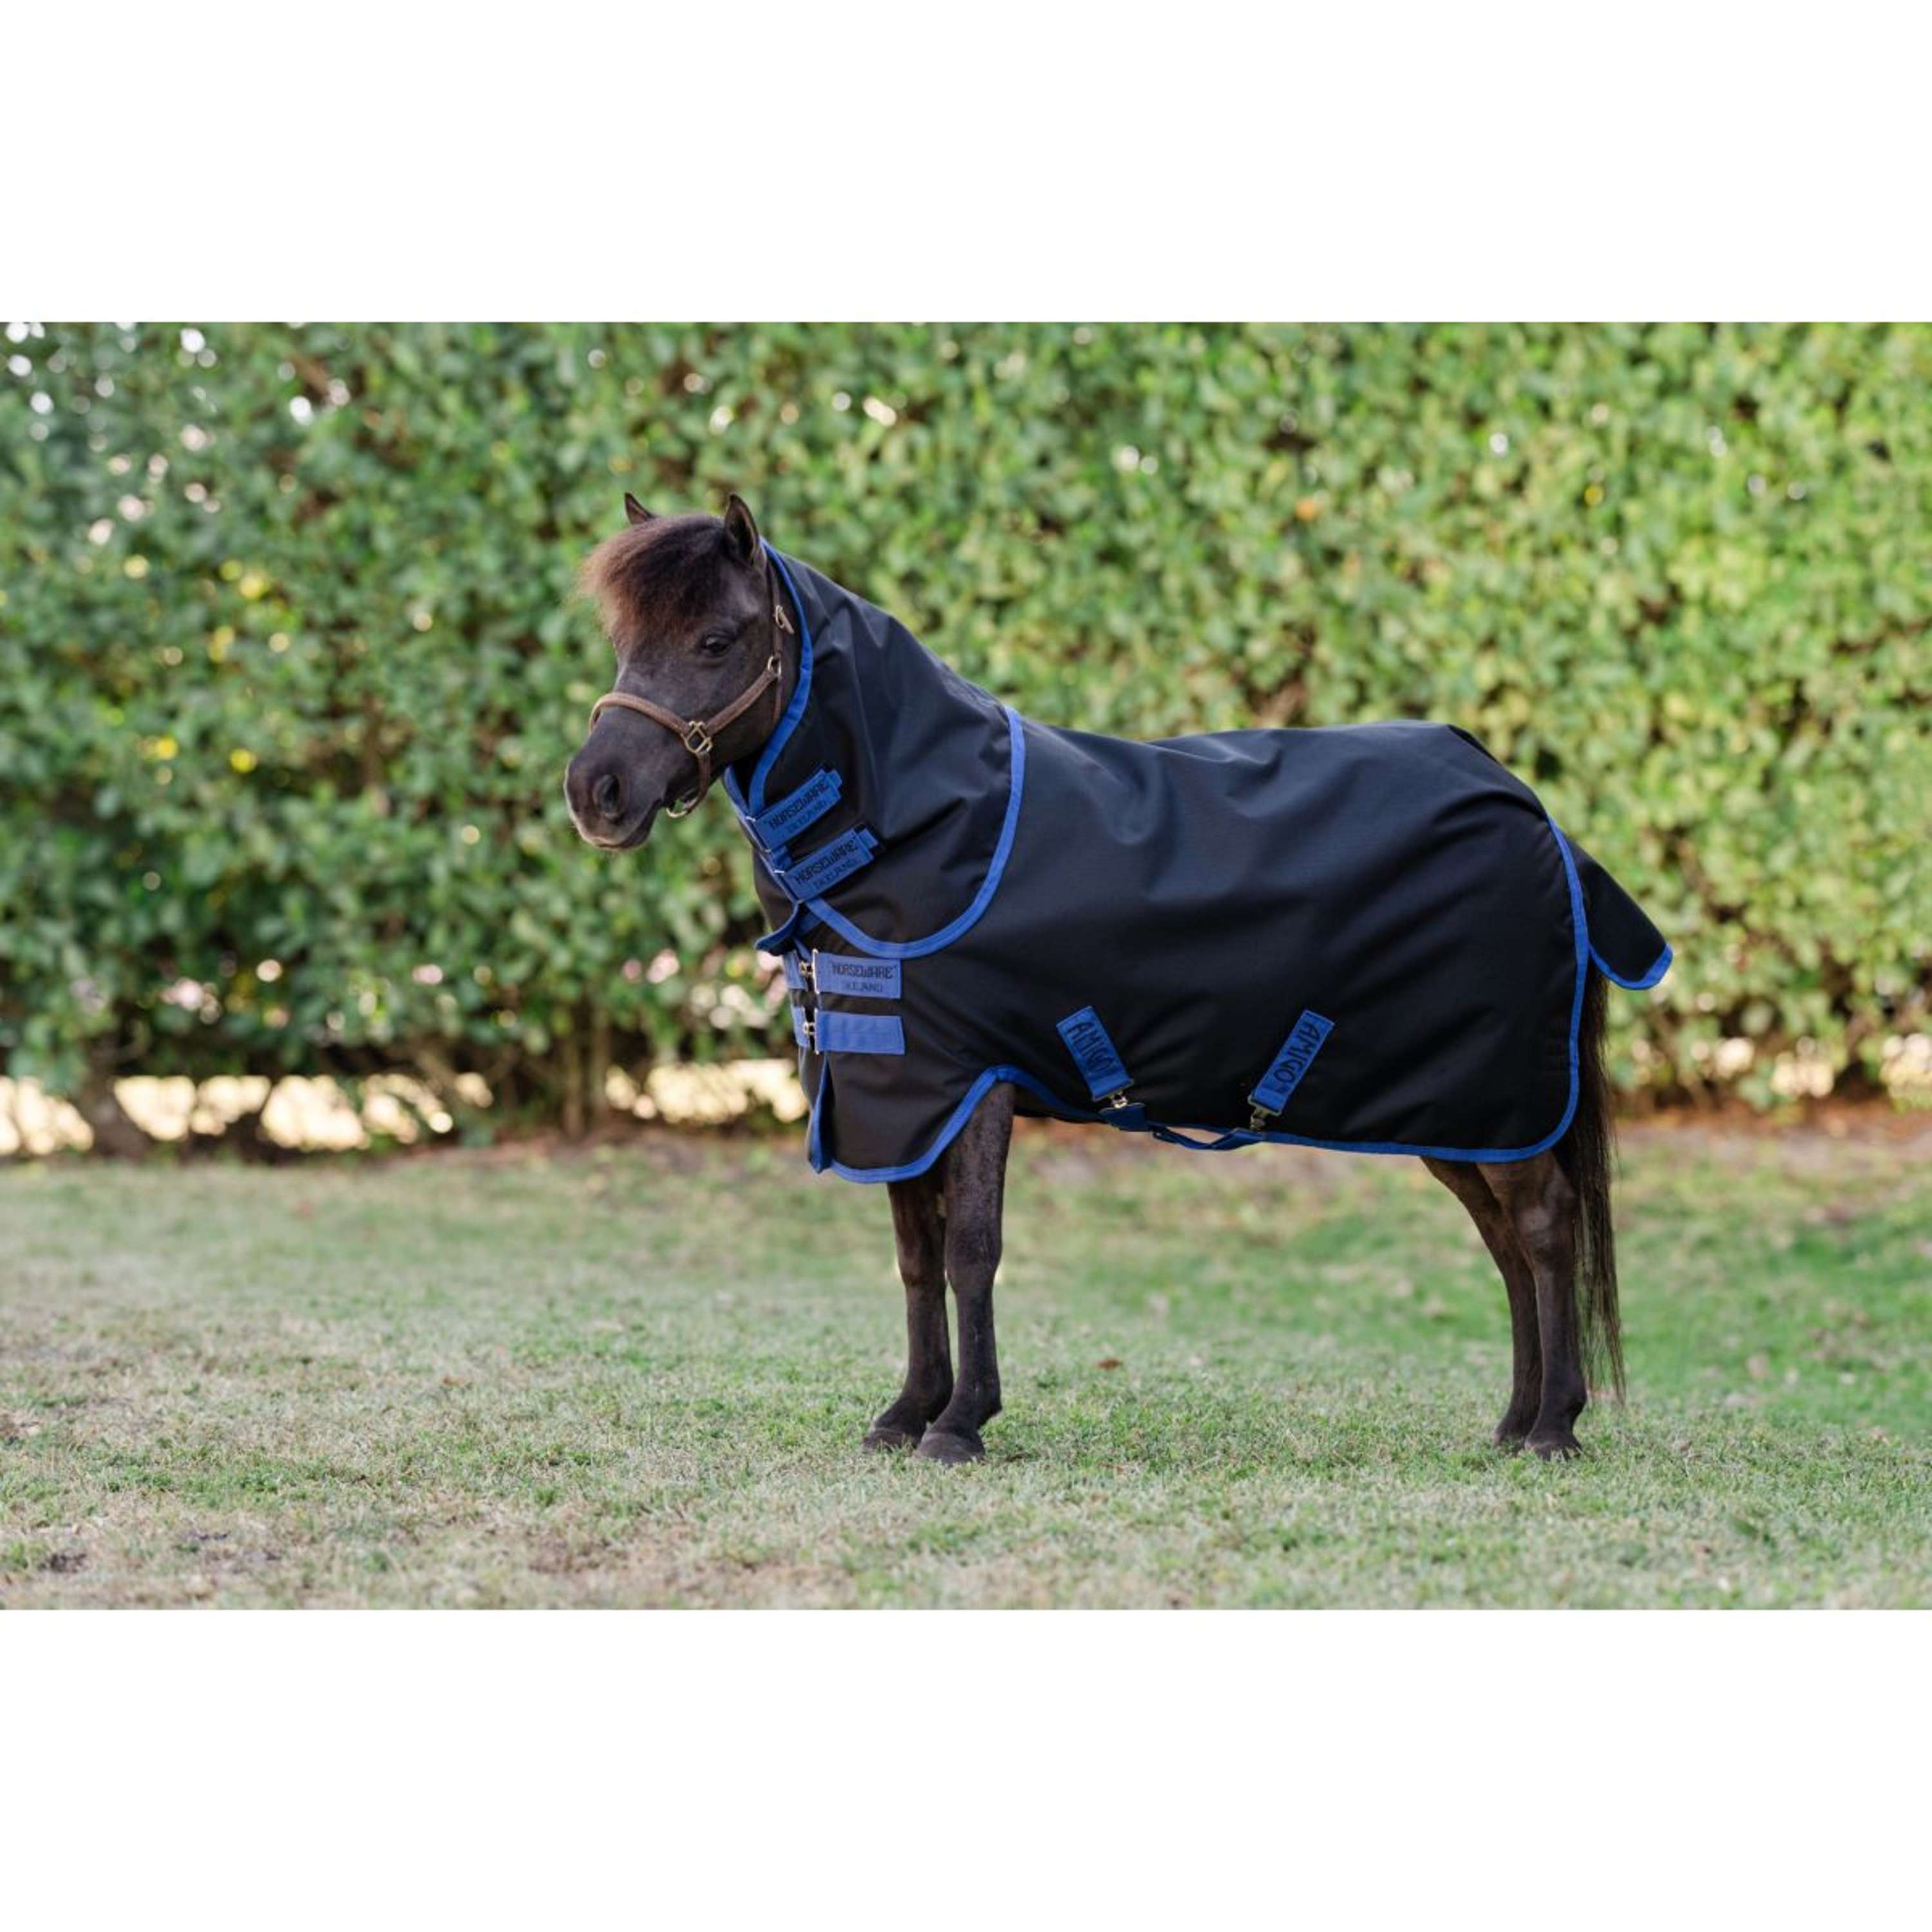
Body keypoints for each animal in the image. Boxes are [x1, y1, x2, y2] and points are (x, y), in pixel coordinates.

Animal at [565, 495, 1670, 1462]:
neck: (925, 826)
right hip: (1458, 1112)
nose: (596, 794)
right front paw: (905, 1414)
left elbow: (971, 1248)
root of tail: (1537, 817)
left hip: (1496, 1097)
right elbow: (916, 1255)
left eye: (717, 640)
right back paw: (1514, 1422)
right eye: (624, 641)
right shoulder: (898, 1092)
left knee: (1543, 1227)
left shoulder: (973, 1084)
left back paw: (1555, 1429)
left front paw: (959, 1424)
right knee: (1504, 1241)